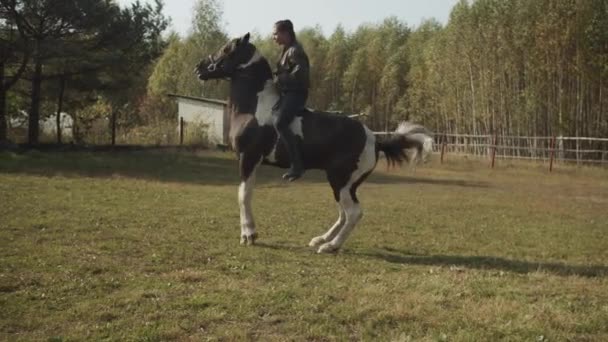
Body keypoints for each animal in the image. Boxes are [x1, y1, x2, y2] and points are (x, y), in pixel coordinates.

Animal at [195, 33, 432, 252]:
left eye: (226, 49)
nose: (199, 67)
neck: (254, 107)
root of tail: (374, 139)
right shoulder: (251, 161)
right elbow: (246, 193)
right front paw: (250, 233)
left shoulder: (248, 158)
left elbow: (243, 195)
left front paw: (248, 235)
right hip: (345, 184)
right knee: (343, 213)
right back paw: (321, 239)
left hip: (340, 181)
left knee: (353, 213)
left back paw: (330, 246)